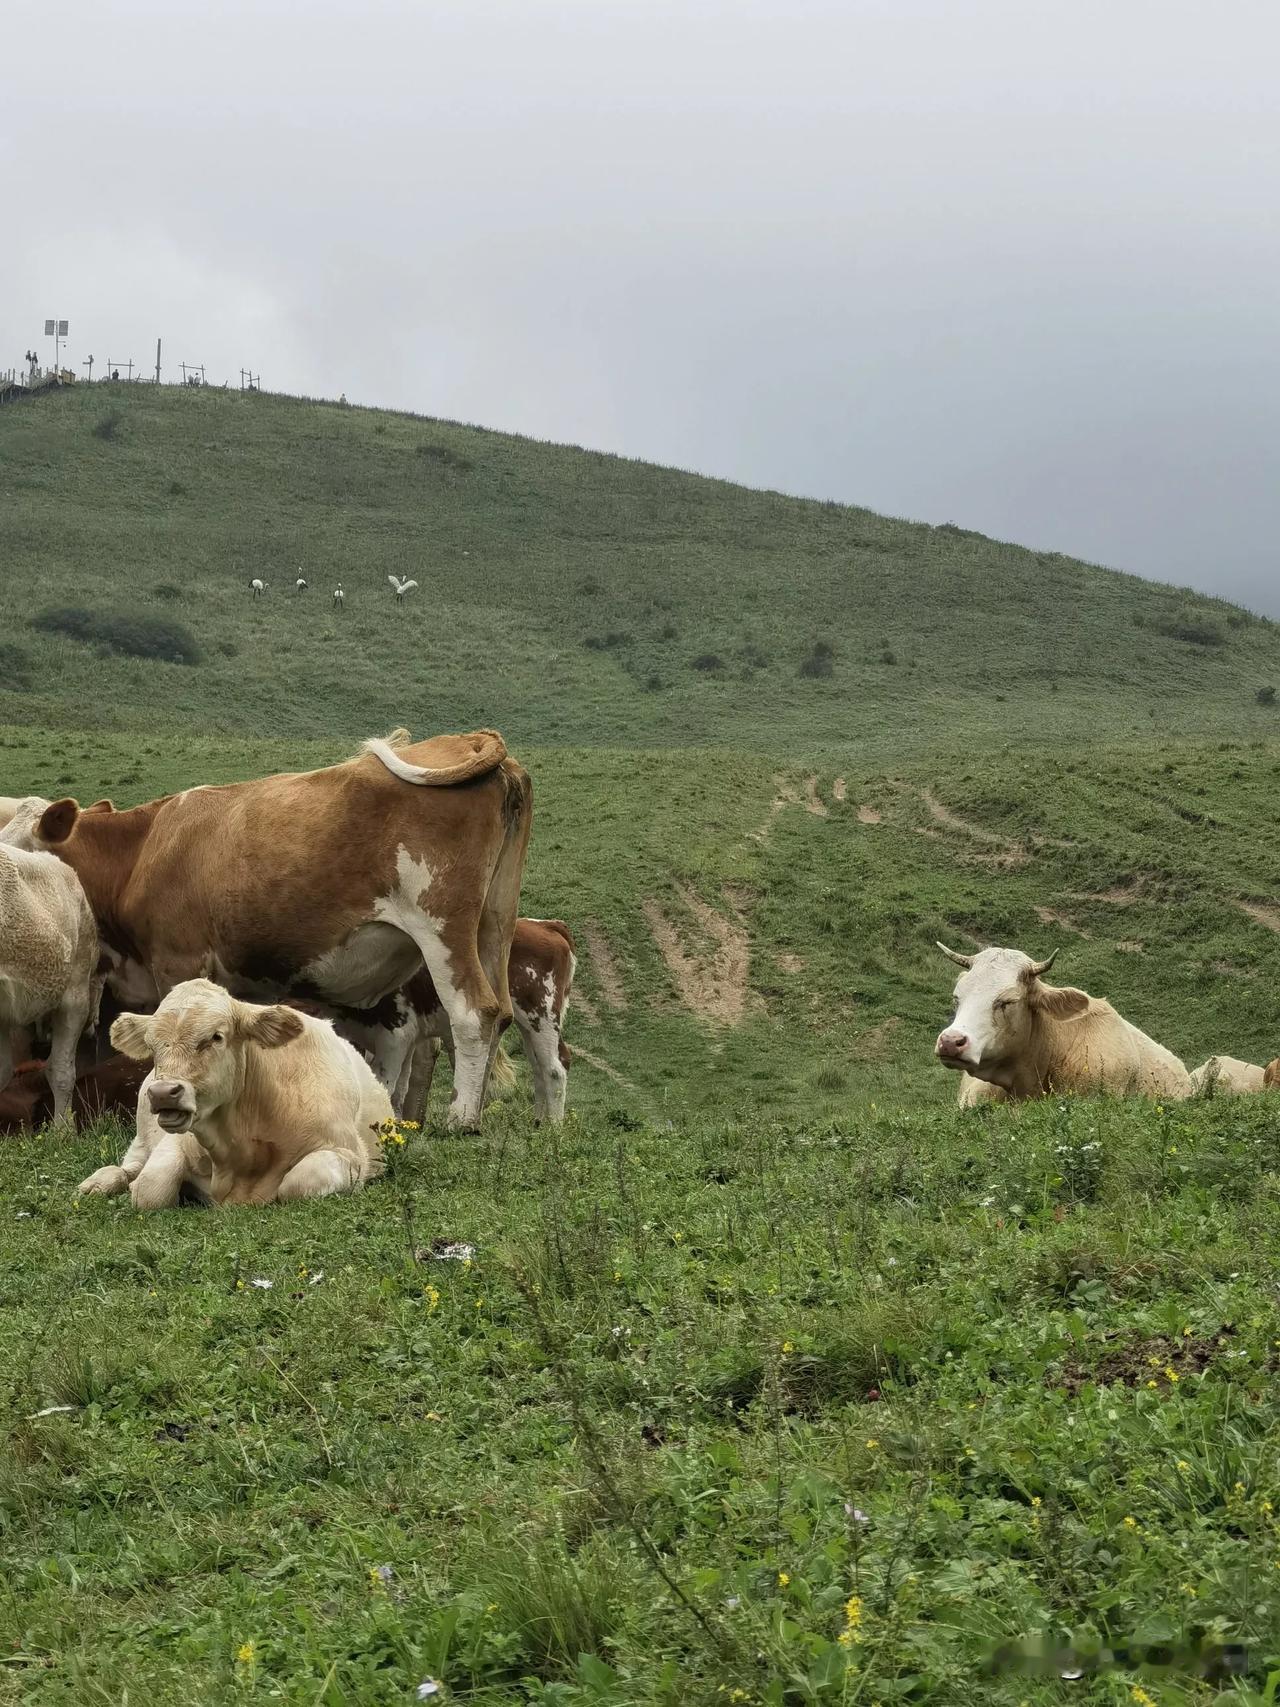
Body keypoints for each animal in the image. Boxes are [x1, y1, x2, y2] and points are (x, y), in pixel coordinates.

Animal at [80, 983, 390, 1208]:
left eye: (216, 1037)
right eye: (151, 1045)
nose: (163, 1093)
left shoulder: (349, 1155)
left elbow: (298, 1182)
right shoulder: (176, 1140)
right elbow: (148, 1190)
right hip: (144, 1137)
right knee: (131, 1166)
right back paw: (97, 1183)